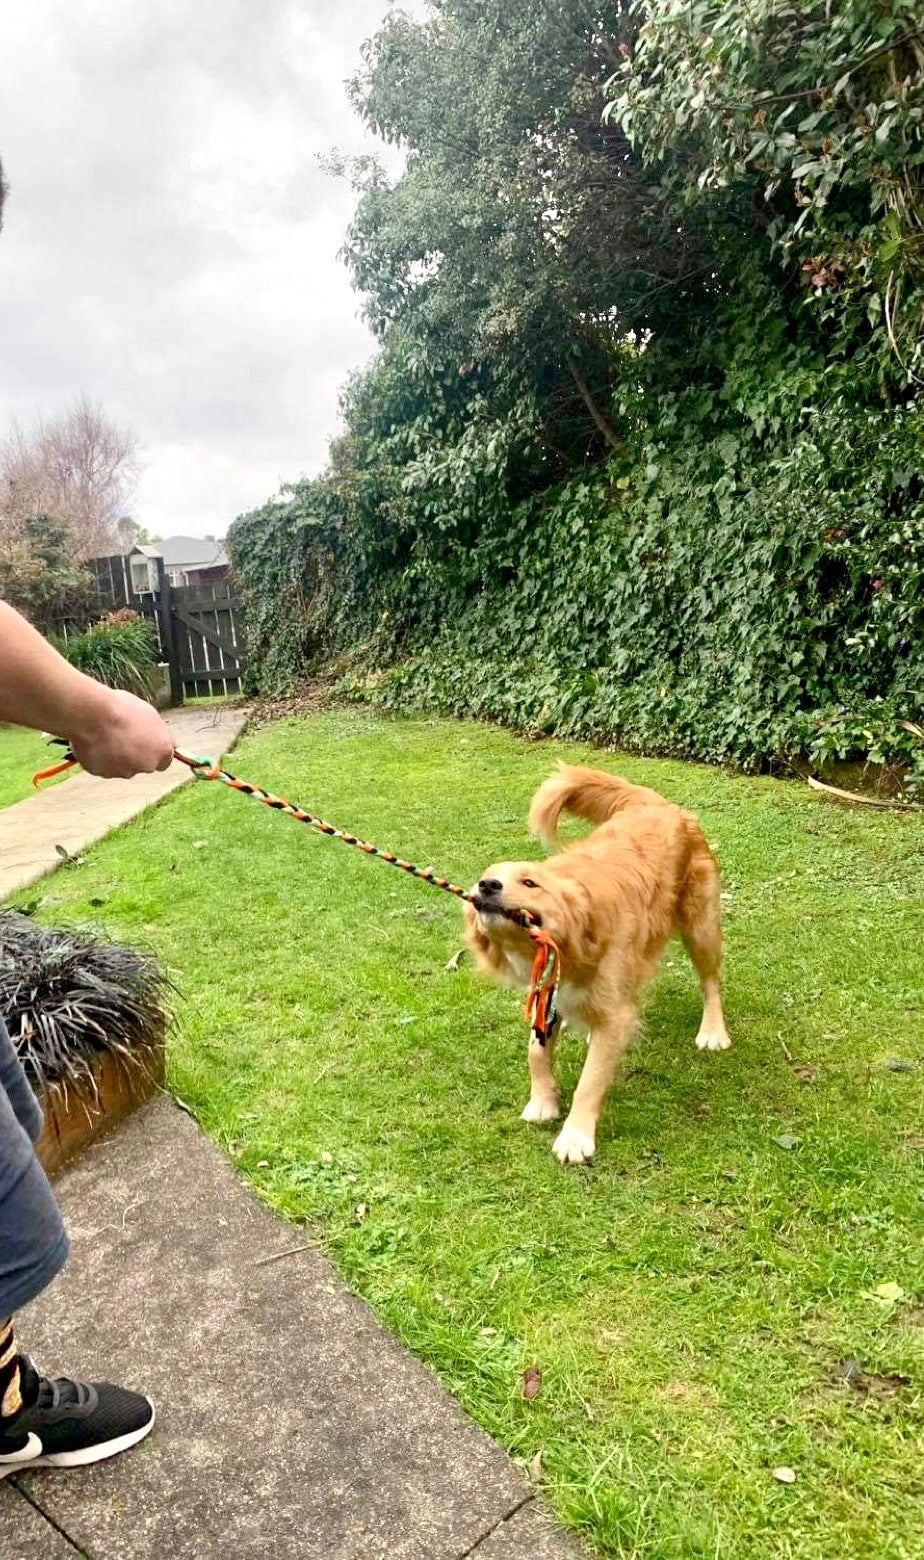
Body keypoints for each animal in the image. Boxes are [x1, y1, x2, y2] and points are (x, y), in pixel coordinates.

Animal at [465, 761, 733, 1166]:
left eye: (530, 882)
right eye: (487, 876)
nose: (487, 885)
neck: (575, 939)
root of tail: (653, 803)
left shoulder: (613, 1008)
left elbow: (590, 1080)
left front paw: (575, 1136)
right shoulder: (550, 994)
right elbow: (536, 1051)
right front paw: (542, 1101)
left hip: (700, 926)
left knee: (710, 981)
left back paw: (713, 1030)